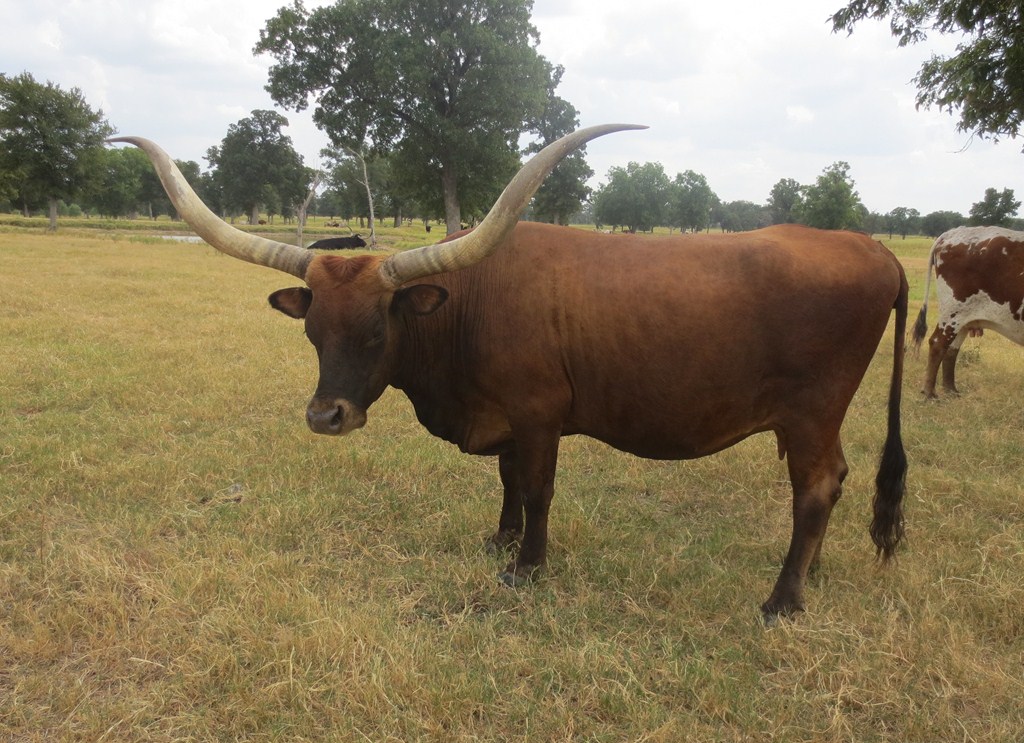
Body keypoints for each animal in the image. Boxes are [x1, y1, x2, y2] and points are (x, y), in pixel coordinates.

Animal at [110, 125, 908, 619]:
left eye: (376, 329)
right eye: (311, 331)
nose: (324, 416)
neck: (467, 303)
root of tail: (871, 248)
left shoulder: (538, 414)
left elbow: (535, 488)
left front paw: (525, 565)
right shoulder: (502, 417)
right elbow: (504, 482)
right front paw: (498, 539)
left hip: (812, 410)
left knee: (816, 487)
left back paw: (783, 600)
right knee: (835, 482)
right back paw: (810, 574)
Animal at [912, 226, 1024, 398]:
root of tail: (952, 232)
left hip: (963, 320)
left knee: (951, 349)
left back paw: (951, 390)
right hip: (952, 314)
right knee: (938, 344)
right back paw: (929, 393)